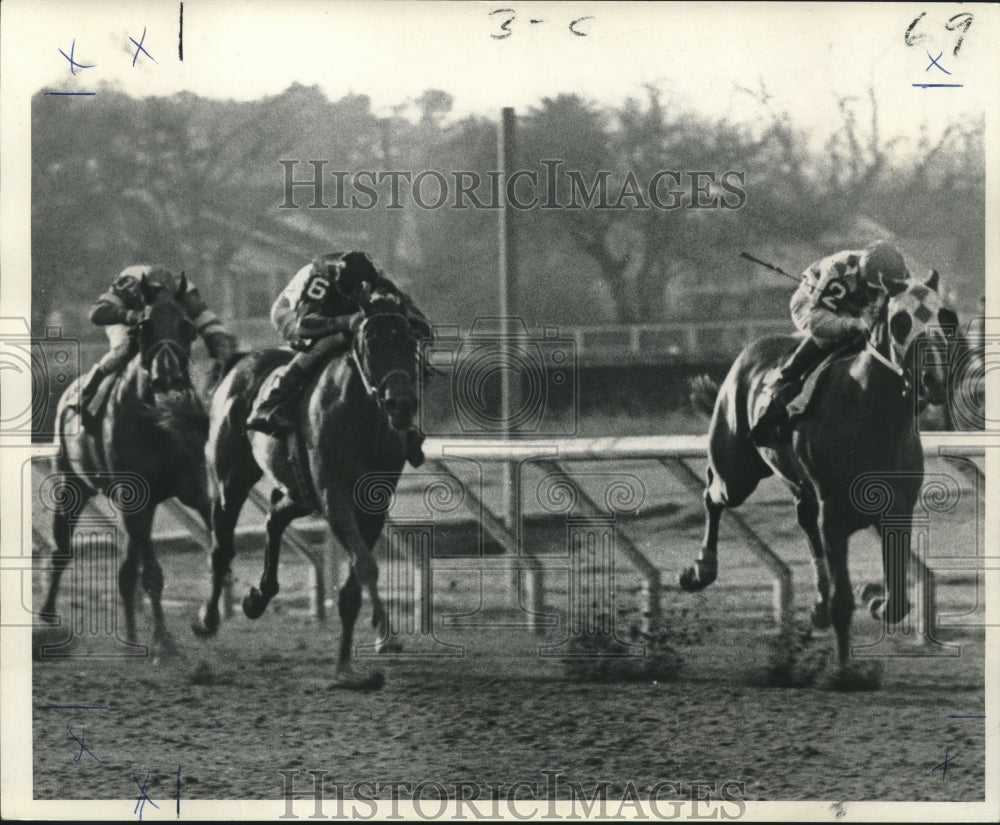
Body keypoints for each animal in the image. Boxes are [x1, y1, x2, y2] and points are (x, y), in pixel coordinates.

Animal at [42, 274, 211, 652]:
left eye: (187, 327)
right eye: (144, 326)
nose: (167, 378)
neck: (158, 423)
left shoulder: (196, 490)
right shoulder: (138, 500)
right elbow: (152, 574)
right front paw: (164, 642)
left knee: (125, 572)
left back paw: (132, 637)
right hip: (72, 484)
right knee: (62, 549)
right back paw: (48, 617)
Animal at [193, 290, 420, 684]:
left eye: (409, 342)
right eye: (371, 343)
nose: (401, 404)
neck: (362, 415)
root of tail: (240, 361)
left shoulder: (373, 503)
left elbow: (357, 576)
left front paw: (362, 650)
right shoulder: (333, 495)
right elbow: (365, 566)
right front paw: (368, 647)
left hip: (299, 490)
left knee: (274, 516)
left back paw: (259, 596)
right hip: (229, 478)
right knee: (222, 546)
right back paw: (207, 619)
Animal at [680, 270, 952, 668]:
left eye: (945, 318)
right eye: (901, 322)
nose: (934, 379)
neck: (870, 413)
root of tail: (746, 353)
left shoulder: (898, 509)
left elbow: (898, 599)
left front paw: (874, 596)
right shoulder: (834, 514)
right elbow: (844, 603)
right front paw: (844, 668)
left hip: (796, 482)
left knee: (804, 519)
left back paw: (818, 604)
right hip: (736, 472)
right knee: (713, 495)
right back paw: (701, 570)